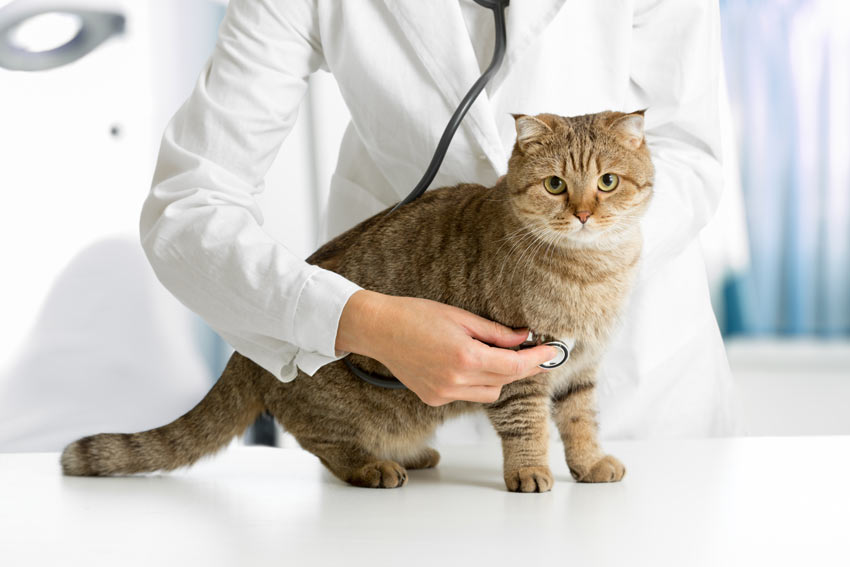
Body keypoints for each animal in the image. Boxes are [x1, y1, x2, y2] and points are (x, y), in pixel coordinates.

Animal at [61, 110, 656, 492]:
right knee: (324, 445)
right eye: (556, 185)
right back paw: (373, 467)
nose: (584, 213)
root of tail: (246, 354)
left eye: (607, 182)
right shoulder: (521, 368)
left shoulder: (581, 369)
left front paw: (589, 463)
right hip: (341, 407)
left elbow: (579, 420)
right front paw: (531, 472)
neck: (592, 274)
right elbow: (527, 427)